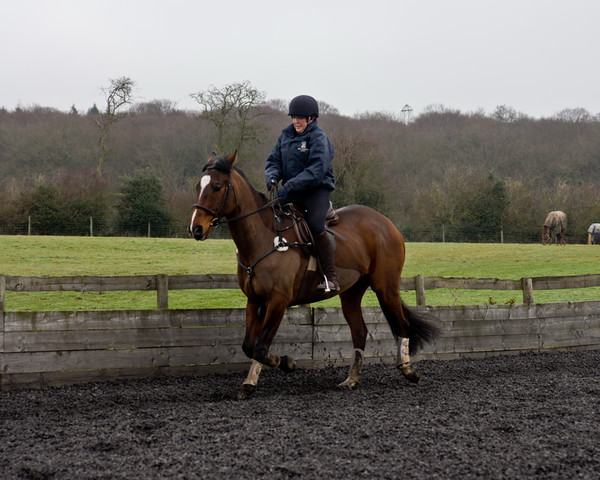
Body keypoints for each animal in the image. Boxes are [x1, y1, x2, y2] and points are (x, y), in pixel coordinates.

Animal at [190, 151, 438, 398]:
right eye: (198, 186)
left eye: (217, 186)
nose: (196, 229)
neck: (262, 239)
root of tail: (385, 222)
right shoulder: (255, 300)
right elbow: (250, 346)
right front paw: (249, 383)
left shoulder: (278, 301)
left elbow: (260, 347)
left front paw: (288, 363)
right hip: (351, 293)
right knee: (360, 331)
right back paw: (352, 380)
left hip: (385, 287)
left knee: (400, 324)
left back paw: (408, 369)